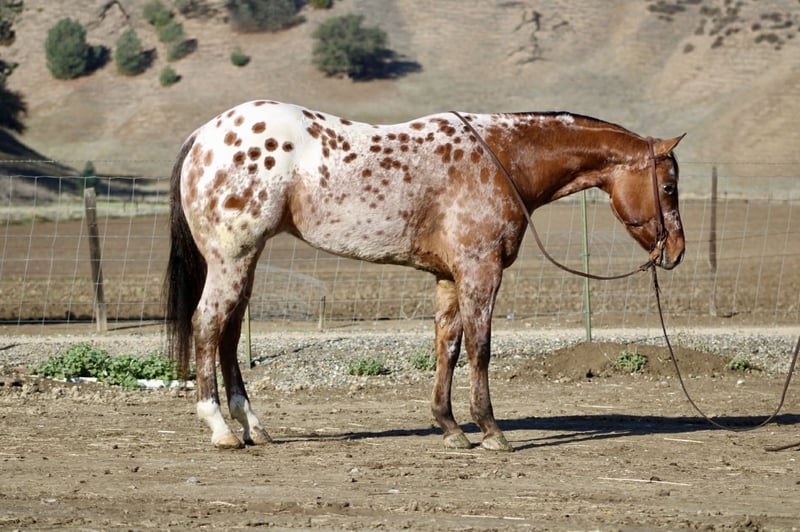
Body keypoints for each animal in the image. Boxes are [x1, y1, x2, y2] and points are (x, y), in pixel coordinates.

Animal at [165, 100, 685, 451]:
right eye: (668, 186)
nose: (677, 251)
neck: (502, 158)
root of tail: (204, 135)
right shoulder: (479, 270)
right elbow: (480, 347)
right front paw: (491, 431)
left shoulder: (449, 277)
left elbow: (448, 347)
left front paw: (451, 428)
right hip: (232, 258)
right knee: (208, 325)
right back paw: (221, 429)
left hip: (244, 261)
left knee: (229, 333)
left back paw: (254, 426)